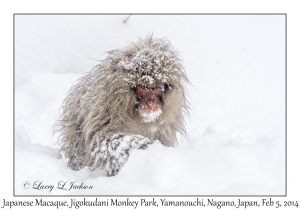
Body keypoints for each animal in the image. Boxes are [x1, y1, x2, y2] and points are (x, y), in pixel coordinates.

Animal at [54, 35, 190, 176]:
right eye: (143, 87)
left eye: (157, 88)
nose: (152, 103)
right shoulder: (107, 105)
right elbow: (102, 138)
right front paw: (145, 145)